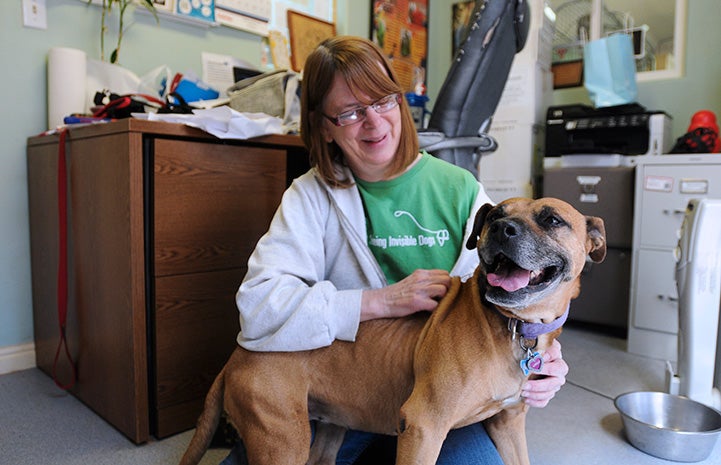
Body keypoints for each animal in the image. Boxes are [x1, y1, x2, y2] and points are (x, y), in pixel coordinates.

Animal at [179, 197, 600, 464]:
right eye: (494, 214)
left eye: (552, 220)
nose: (502, 228)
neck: (514, 326)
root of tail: (238, 353)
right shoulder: (423, 428)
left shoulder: (508, 425)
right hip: (280, 441)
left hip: (326, 432)